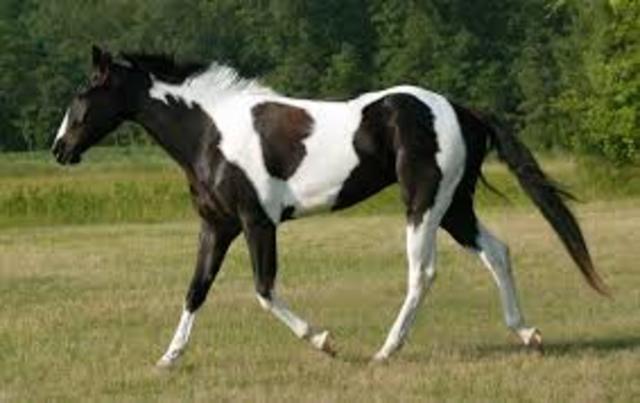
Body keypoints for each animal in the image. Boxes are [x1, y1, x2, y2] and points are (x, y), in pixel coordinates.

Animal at [52, 46, 608, 367]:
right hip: (455, 208)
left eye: (84, 94)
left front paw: (324, 341)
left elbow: (263, 290)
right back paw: (528, 334)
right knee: (497, 252)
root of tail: (459, 109)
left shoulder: (257, 223)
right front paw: (168, 358)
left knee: (423, 272)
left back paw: (386, 351)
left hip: (424, 204)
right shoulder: (217, 227)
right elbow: (195, 291)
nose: (60, 149)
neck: (211, 133)